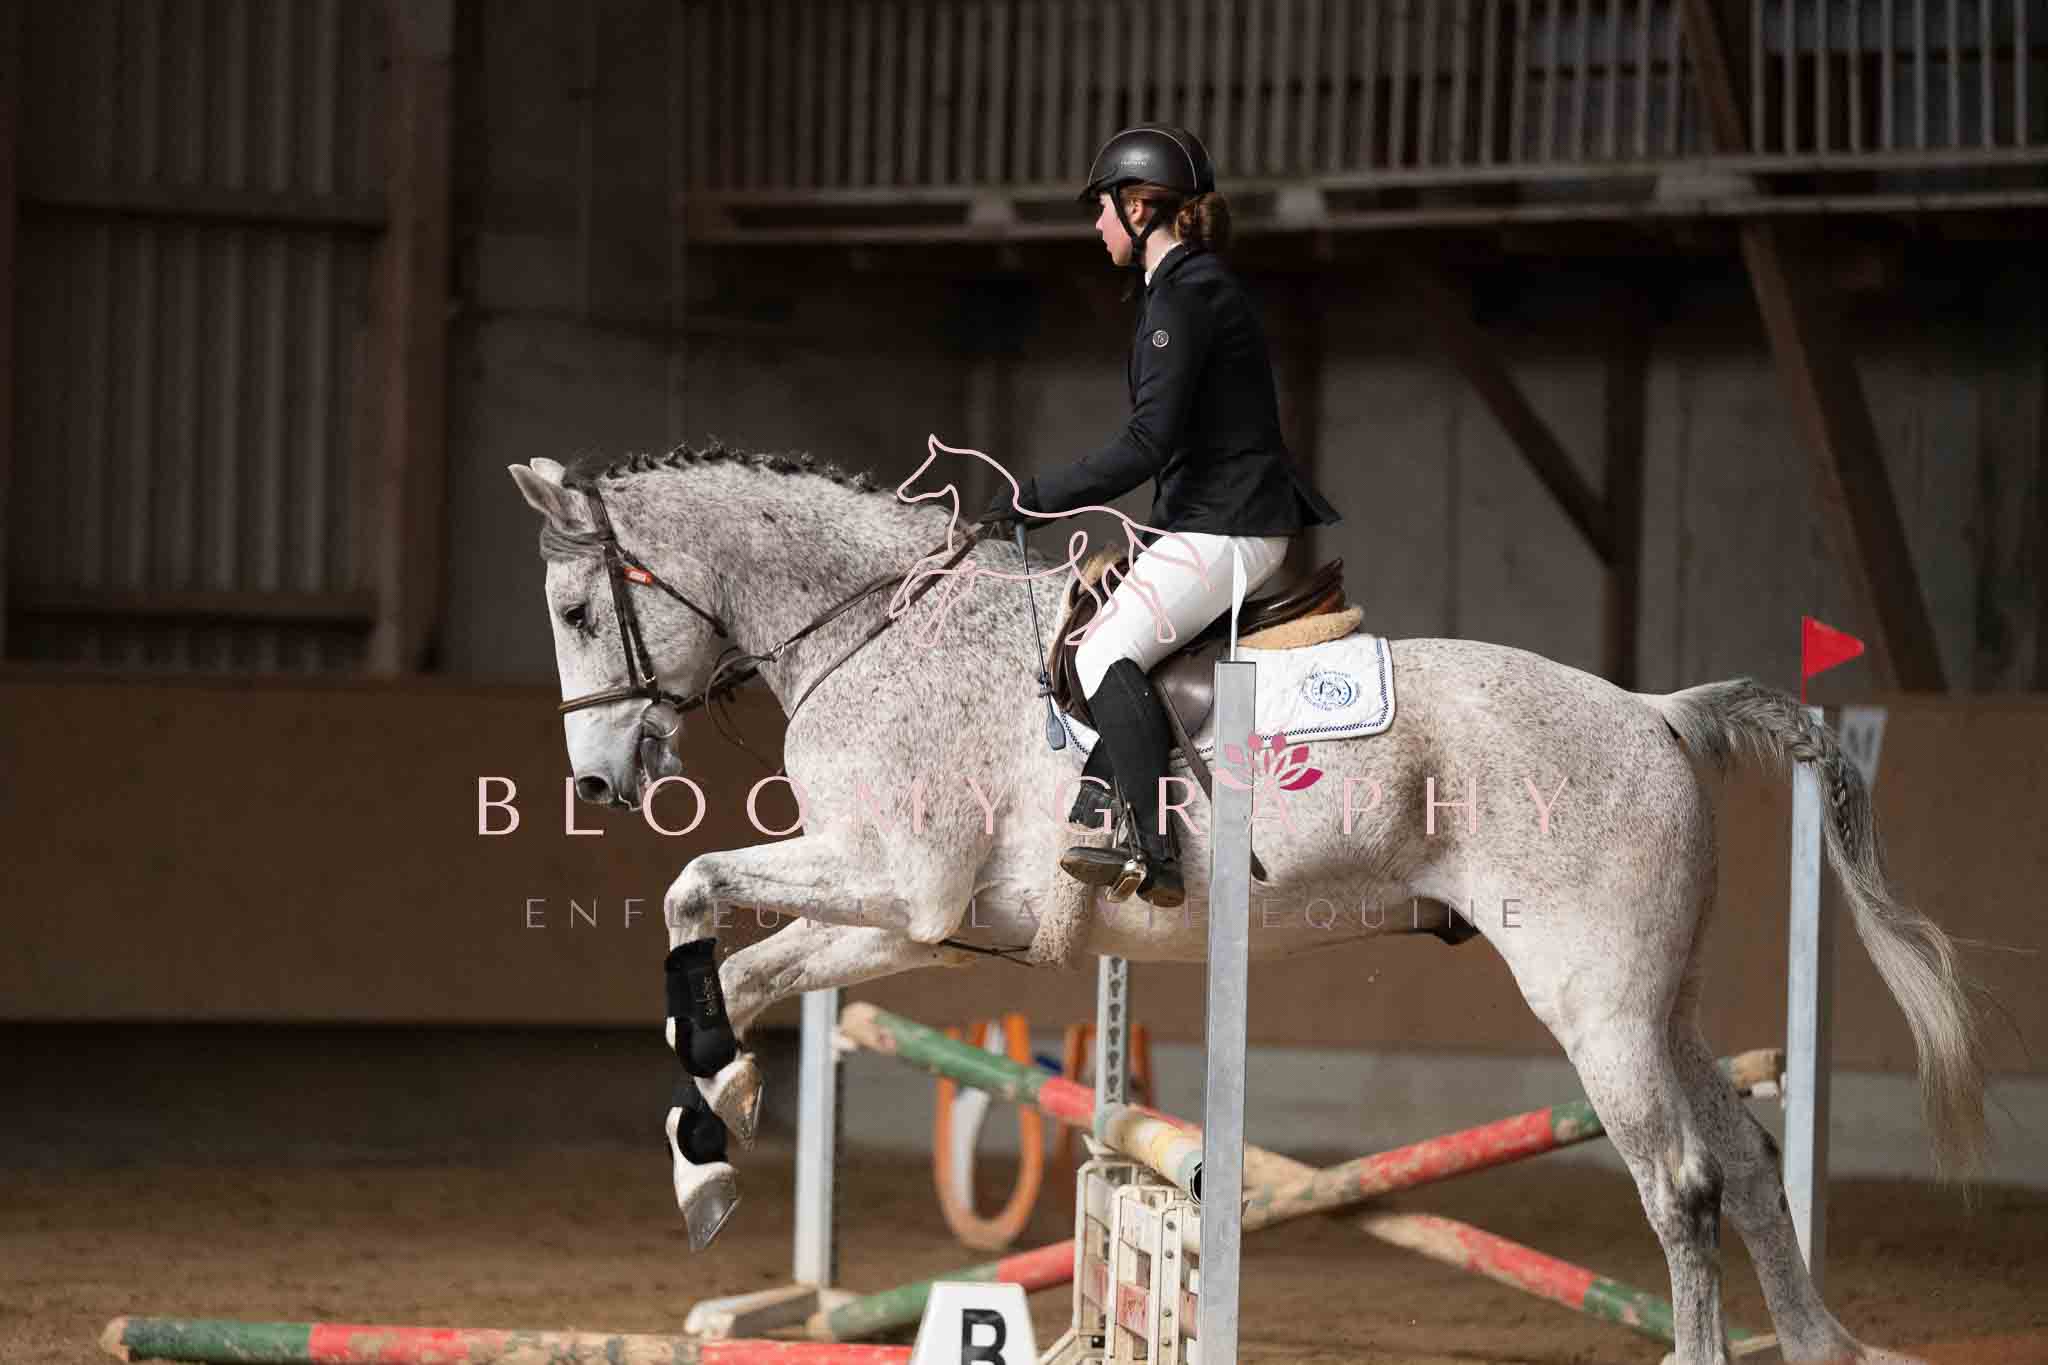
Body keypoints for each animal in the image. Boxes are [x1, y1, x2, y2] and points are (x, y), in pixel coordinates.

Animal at [510, 442, 1983, 1365]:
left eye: (578, 612)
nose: (598, 781)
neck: (878, 628)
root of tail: (1653, 710)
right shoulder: (915, 920)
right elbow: (744, 971)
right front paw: (712, 1140)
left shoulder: (892, 874)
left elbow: (693, 889)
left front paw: (711, 1121)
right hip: (1656, 998)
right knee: (1746, 1155)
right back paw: (1819, 1344)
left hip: (1595, 999)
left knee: (1679, 1179)